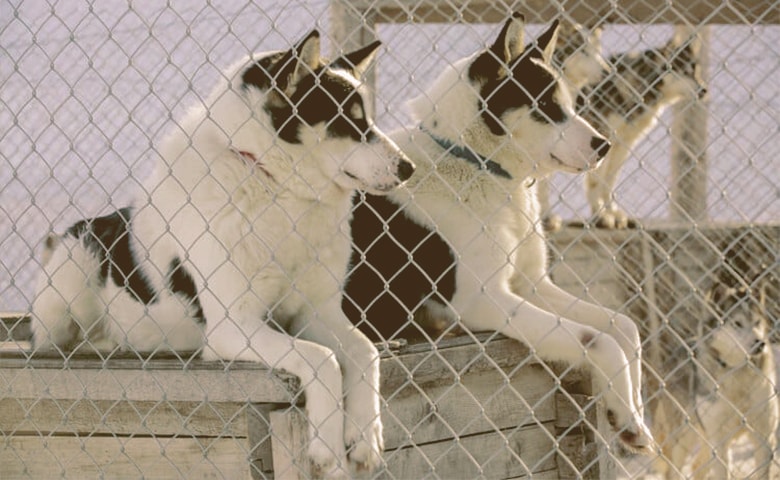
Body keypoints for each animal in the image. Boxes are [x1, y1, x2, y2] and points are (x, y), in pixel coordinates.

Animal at [32, 31, 414, 476]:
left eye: (367, 118)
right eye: (348, 121)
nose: (408, 168)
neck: (274, 185)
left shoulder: (315, 312)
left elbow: (364, 352)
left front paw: (365, 435)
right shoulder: (235, 326)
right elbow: (322, 360)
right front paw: (327, 445)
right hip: (72, 282)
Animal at [344, 12, 656, 454]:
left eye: (568, 103)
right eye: (546, 106)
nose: (604, 146)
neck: (474, 163)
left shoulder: (531, 285)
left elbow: (623, 327)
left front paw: (631, 413)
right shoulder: (483, 300)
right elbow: (598, 340)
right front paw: (627, 417)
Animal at [656, 284, 776, 478]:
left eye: (757, 322)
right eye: (737, 323)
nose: (760, 344)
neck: (738, 372)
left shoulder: (764, 438)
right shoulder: (719, 443)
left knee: (696, 467)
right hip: (684, 440)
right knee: (673, 472)